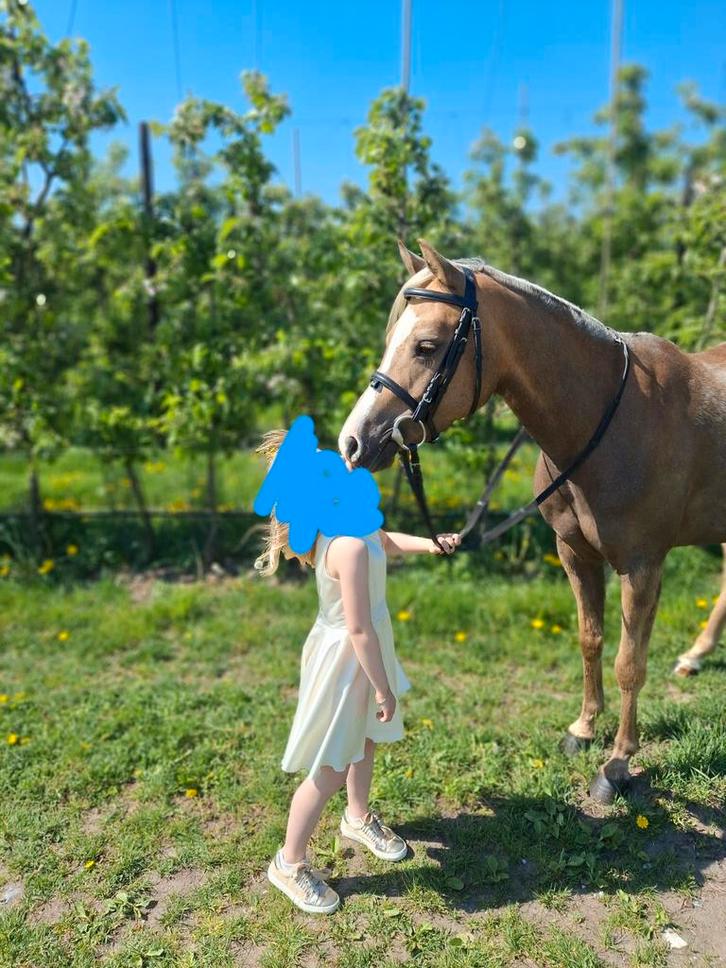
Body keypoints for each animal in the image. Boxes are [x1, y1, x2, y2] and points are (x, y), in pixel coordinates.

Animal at [339, 238, 726, 803]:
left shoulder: (642, 566)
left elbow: (629, 663)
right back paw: (696, 655)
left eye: (427, 346)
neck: (610, 420)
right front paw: (583, 730)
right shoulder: (575, 553)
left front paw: (617, 764)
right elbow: (591, 639)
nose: (353, 441)